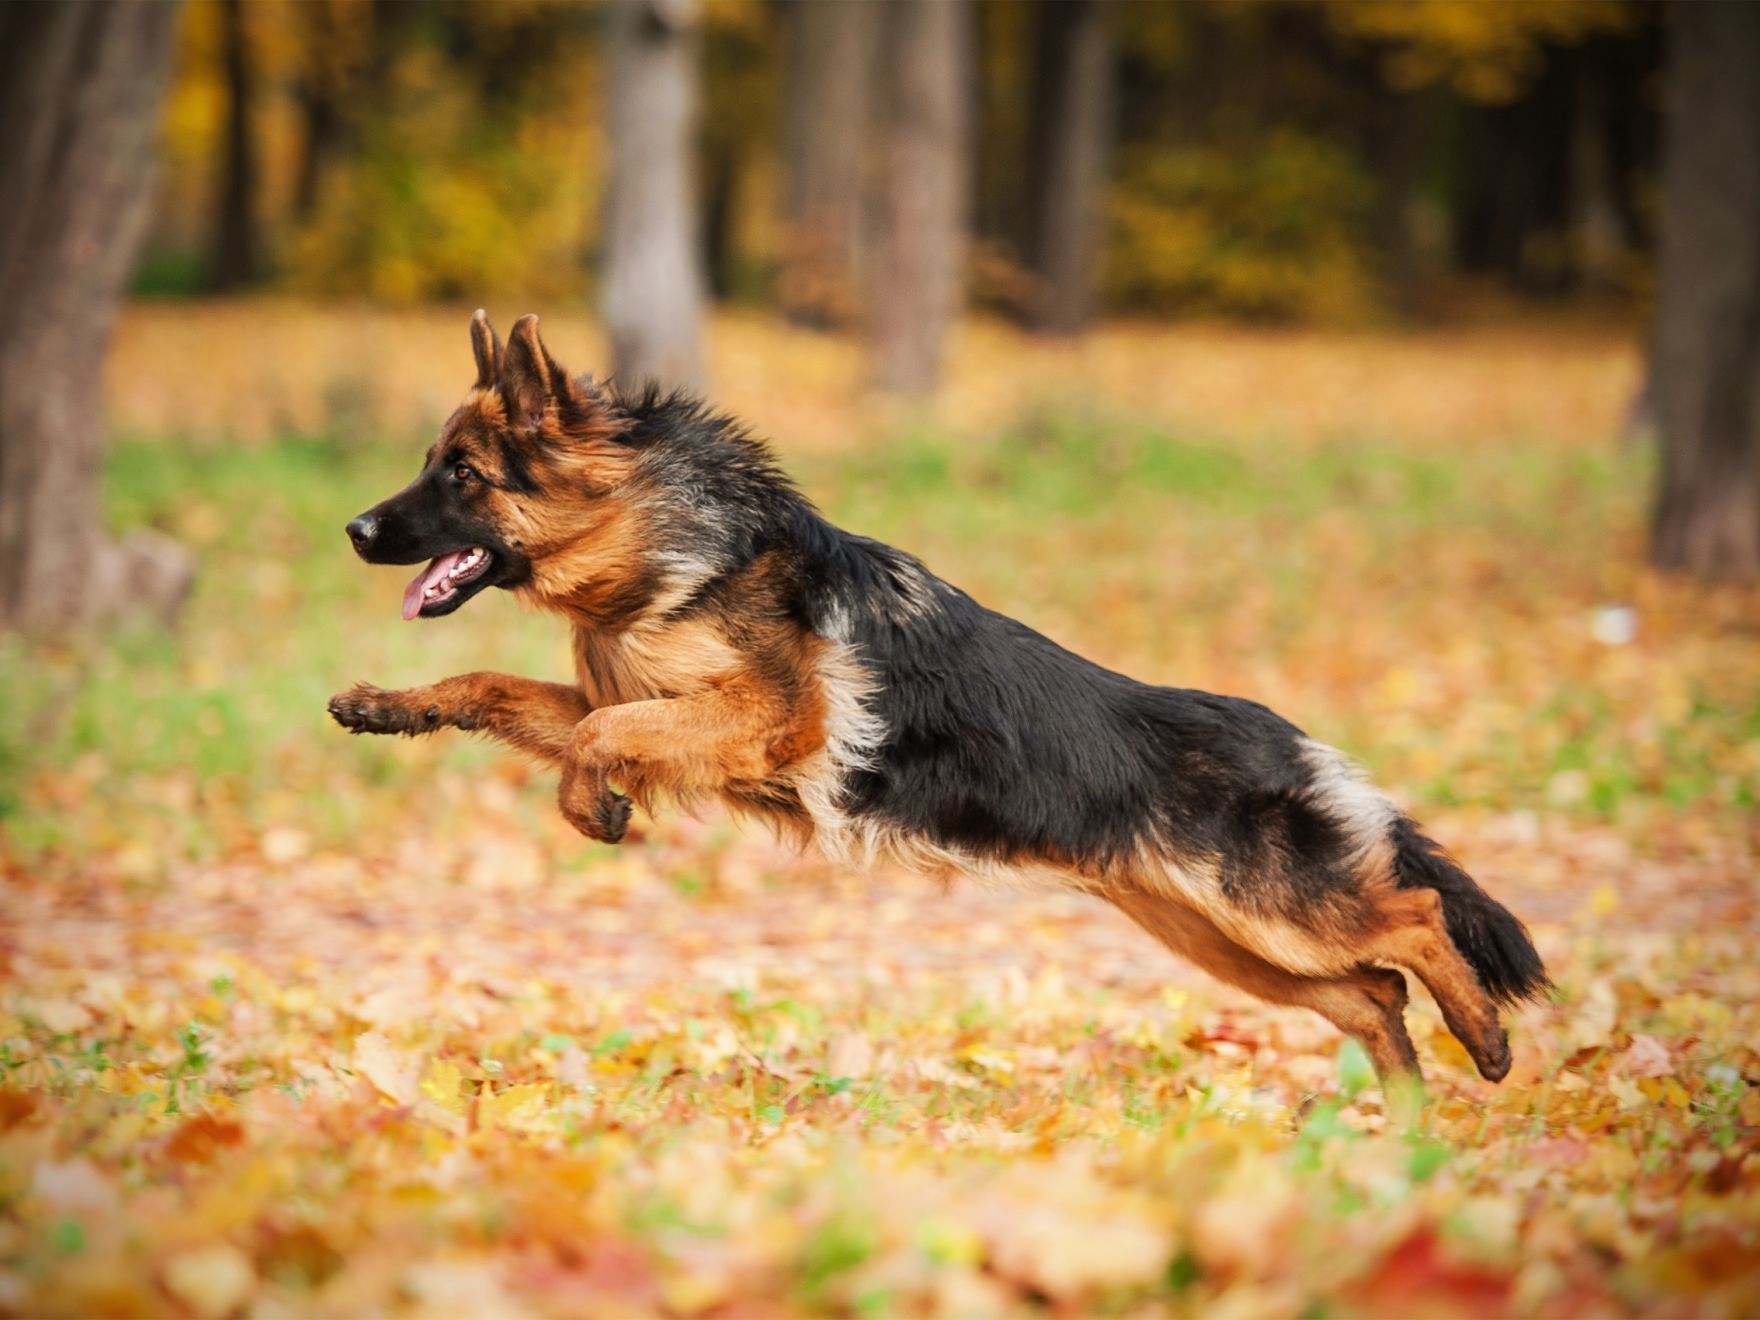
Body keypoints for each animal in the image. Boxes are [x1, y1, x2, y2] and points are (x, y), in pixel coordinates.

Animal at [327, 313, 1541, 1098]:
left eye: (462, 474)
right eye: (430, 463)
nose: (353, 529)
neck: (665, 547)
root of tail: (1297, 744)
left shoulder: (766, 721)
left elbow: (596, 732)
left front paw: (593, 805)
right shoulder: (639, 696)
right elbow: (502, 692)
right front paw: (390, 705)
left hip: (1266, 911)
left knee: (1413, 922)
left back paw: (1481, 1042)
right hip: (1228, 939)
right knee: (1372, 993)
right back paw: (1402, 1121)